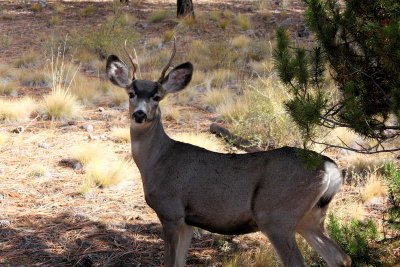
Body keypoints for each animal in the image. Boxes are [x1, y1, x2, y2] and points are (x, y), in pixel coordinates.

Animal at [105, 40, 350, 266]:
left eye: (157, 96)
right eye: (131, 93)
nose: (139, 114)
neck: (158, 161)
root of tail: (329, 167)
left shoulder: (171, 211)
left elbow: (171, 263)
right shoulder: (187, 221)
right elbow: (181, 262)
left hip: (277, 217)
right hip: (310, 218)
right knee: (341, 258)